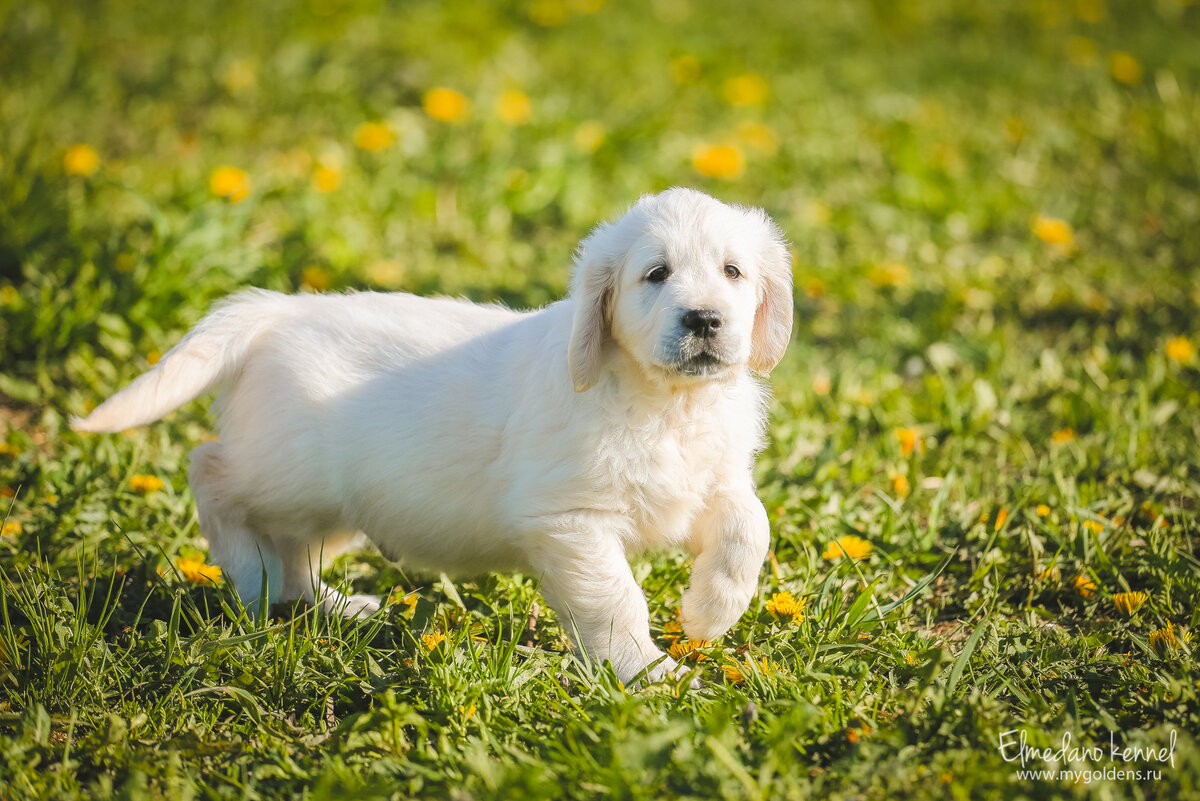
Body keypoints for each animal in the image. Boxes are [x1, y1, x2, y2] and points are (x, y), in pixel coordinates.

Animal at [70, 185, 792, 681]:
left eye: (732, 272)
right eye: (656, 275)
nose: (704, 319)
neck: (668, 401)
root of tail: (276, 310)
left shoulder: (708, 480)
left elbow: (748, 525)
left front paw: (708, 613)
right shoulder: (569, 520)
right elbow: (616, 599)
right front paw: (647, 671)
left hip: (334, 500)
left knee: (294, 546)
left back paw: (331, 605)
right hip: (291, 470)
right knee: (212, 474)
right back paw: (253, 581)